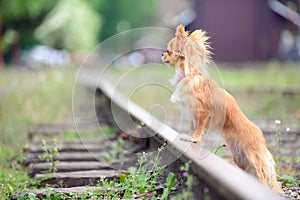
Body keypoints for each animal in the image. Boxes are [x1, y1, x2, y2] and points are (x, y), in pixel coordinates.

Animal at [162, 24, 284, 193]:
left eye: (168, 51)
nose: (161, 54)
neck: (190, 75)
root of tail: (262, 138)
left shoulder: (202, 112)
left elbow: (198, 129)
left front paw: (194, 139)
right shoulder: (192, 113)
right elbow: (193, 127)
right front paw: (188, 137)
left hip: (252, 157)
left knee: (262, 175)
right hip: (240, 159)